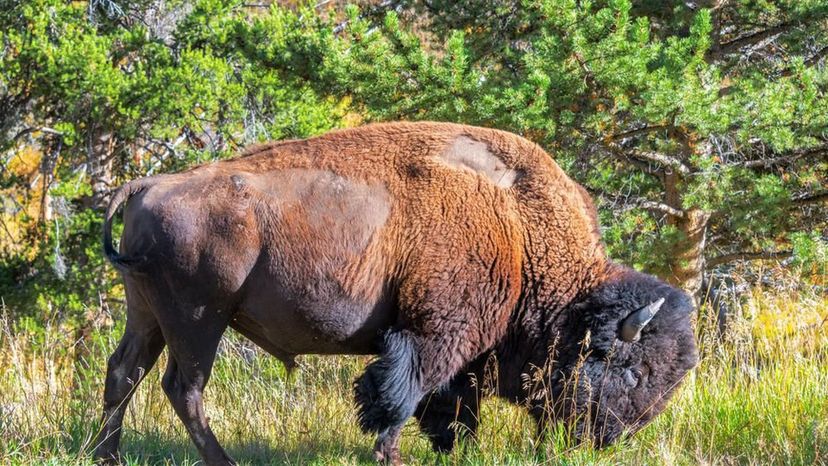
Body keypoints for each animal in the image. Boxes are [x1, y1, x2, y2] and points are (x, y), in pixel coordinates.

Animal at [92, 122, 700, 464]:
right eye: (633, 371)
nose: (610, 439)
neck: (520, 232)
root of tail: (147, 183)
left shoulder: (463, 353)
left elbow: (449, 406)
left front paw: (455, 452)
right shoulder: (433, 335)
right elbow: (399, 394)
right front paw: (393, 455)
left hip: (148, 314)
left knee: (124, 374)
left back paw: (107, 457)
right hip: (199, 319)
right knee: (183, 388)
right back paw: (220, 462)